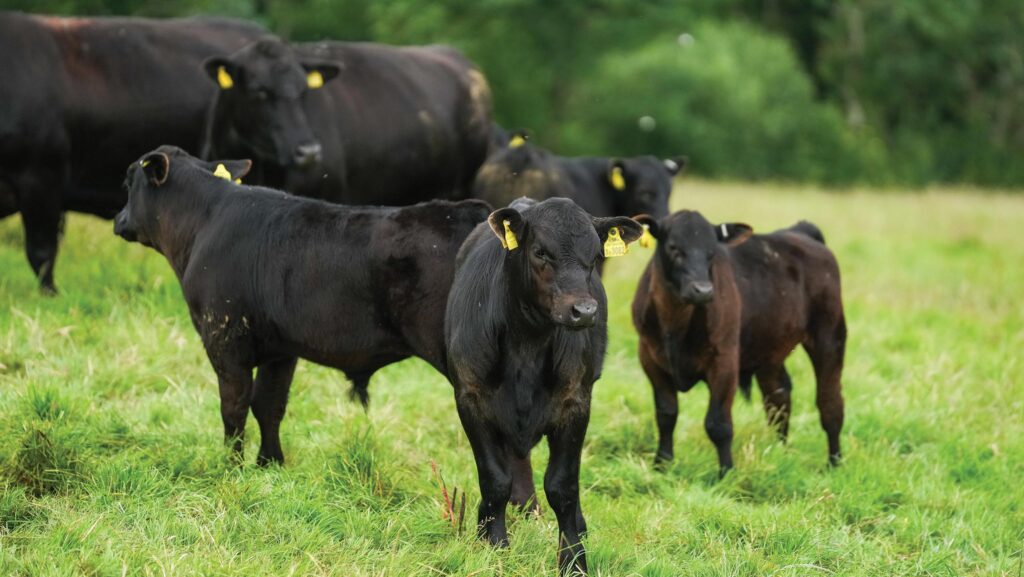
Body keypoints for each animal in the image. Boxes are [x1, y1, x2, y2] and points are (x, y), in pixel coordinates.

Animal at [113, 145, 491, 466]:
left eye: (128, 182)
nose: (118, 219)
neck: (204, 224)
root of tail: (464, 210)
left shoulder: (224, 338)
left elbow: (233, 408)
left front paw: (231, 466)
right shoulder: (281, 348)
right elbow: (269, 404)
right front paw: (269, 463)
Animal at [445, 196, 642, 575]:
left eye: (595, 255)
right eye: (540, 252)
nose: (584, 310)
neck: (527, 344)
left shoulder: (576, 403)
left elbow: (563, 486)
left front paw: (574, 559)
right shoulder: (470, 398)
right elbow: (495, 479)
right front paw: (494, 545)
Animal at [631, 210, 846, 475]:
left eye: (712, 251)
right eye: (673, 247)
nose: (703, 290)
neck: (675, 326)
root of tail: (799, 232)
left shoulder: (724, 362)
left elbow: (718, 424)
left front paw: (726, 473)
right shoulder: (649, 358)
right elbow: (666, 414)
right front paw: (662, 464)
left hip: (830, 335)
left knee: (830, 403)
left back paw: (834, 462)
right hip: (769, 349)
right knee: (778, 399)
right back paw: (779, 452)